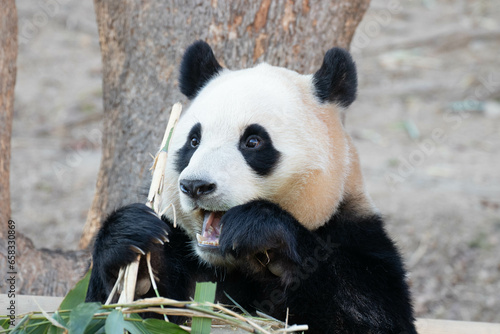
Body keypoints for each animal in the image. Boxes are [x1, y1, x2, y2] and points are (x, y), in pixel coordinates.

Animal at [87, 40, 418, 332]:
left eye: (253, 141)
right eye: (193, 141)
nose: (196, 185)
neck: (228, 262)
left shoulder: (355, 233)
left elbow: (365, 314)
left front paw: (256, 228)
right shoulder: (184, 248)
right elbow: (114, 312)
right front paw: (134, 246)